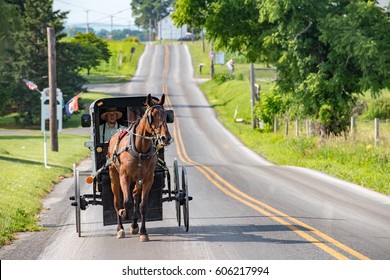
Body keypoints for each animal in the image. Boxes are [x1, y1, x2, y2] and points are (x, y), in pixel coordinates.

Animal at [108, 93, 172, 241]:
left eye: (166, 114)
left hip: (138, 179)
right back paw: (120, 228)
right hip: (114, 175)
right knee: (117, 201)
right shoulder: (124, 177)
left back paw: (134, 224)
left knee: (135, 195)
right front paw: (124, 213)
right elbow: (127, 203)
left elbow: (143, 205)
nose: (165, 138)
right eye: (152, 116)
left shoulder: (148, 178)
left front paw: (143, 232)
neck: (140, 149)